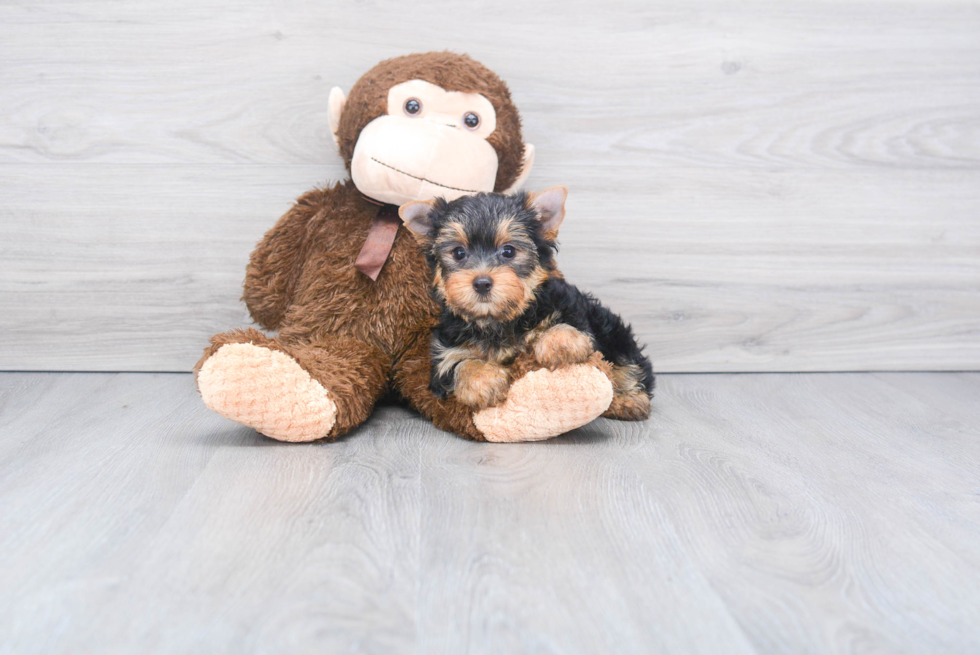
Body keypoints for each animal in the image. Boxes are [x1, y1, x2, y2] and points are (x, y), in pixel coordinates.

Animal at [394, 184, 656, 422]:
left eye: (508, 251)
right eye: (459, 253)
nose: (482, 282)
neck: (497, 320)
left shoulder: (570, 307)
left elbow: (569, 324)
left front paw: (560, 343)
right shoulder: (444, 353)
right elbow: (458, 363)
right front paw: (482, 381)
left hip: (613, 332)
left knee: (629, 366)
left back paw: (628, 400)